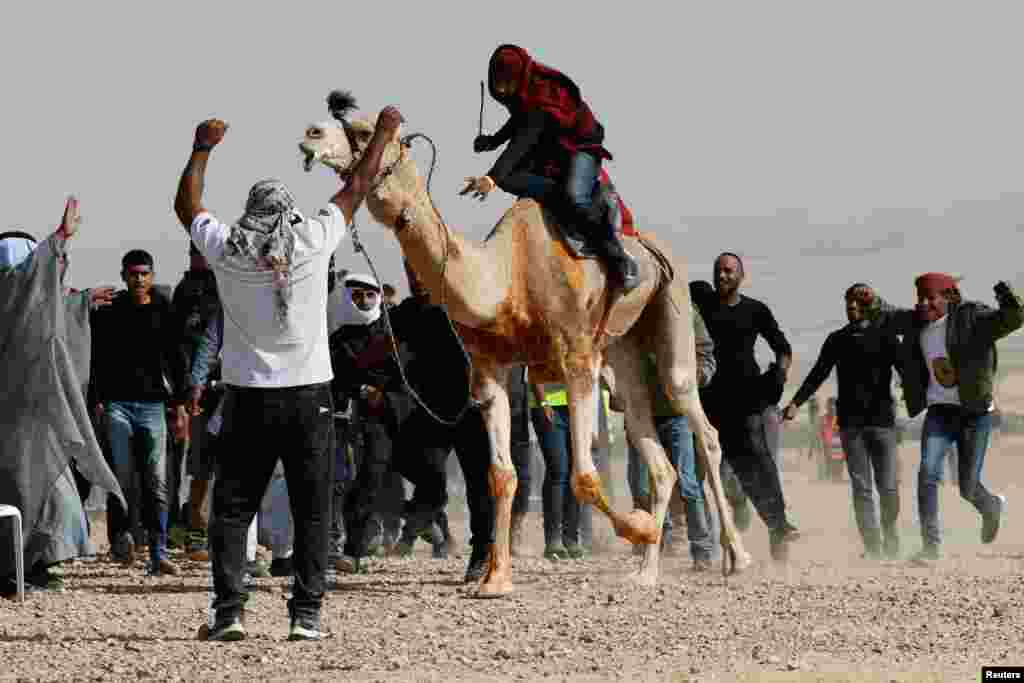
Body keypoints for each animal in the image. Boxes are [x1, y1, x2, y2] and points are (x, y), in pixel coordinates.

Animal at [296, 108, 753, 598]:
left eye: (364, 130)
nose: (311, 134)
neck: (505, 278)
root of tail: (649, 245)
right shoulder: (490, 370)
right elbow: (501, 474)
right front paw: (495, 580)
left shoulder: (577, 358)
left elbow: (584, 476)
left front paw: (641, 527)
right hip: (621, 349)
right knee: (650, 440)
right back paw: (646, 571)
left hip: (671, 305)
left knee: (698, 418)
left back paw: (736, 558)